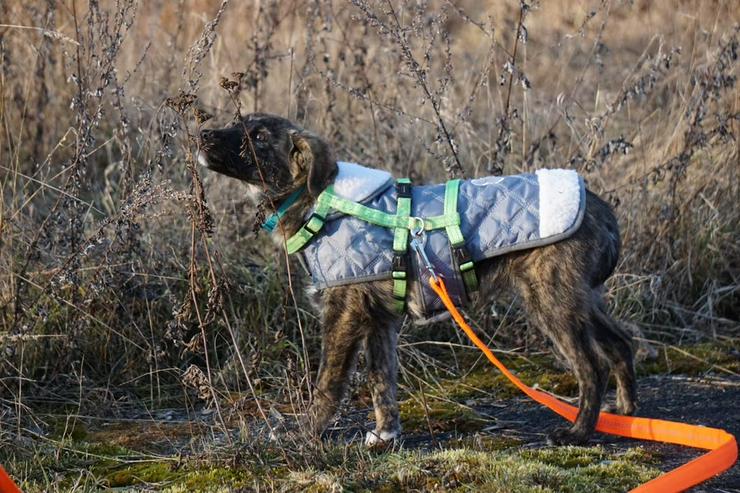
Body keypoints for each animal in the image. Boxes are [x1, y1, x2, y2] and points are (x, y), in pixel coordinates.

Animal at [198, 112, 636, 446]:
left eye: (258, 137)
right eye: (238, 123)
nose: (202, 133)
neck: (320, 202)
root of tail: (599, 207)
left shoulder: (343, 314)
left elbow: (328, 383)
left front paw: (307, 433)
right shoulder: (379, 321)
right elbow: (381, 381)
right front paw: (385, 436)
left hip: (551, 301)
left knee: (592, 366)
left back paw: (578, 432)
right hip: (580, 299)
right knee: (620, 343)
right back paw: (627, 413)